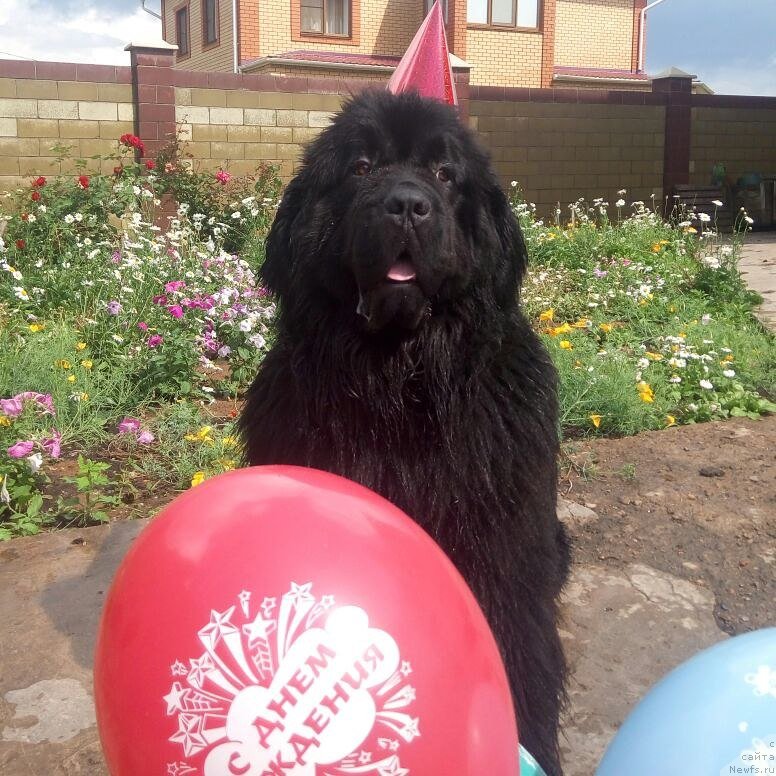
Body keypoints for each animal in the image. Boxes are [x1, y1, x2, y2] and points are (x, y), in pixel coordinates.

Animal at [239, 89, 568, 768]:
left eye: (445, 175)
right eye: (361, 167)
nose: (409, 205)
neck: (400, 382)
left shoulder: (503, 552)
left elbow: (518, 650)